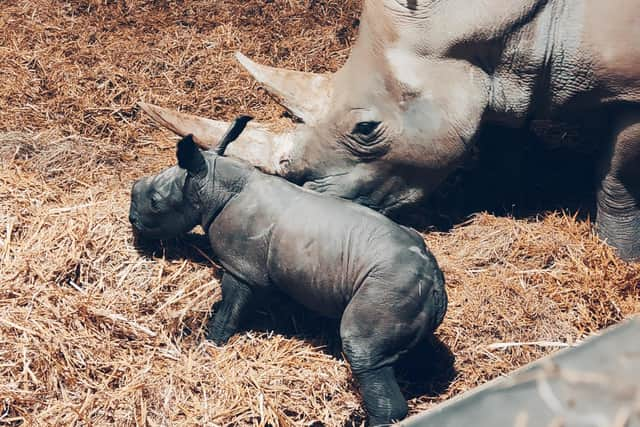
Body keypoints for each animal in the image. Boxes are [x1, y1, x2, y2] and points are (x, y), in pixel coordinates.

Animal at [130, 118, 448, 427]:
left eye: (155, 203)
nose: (132, 219)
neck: (211, 184)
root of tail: (433, 280)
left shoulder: (240, 267)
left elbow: (229, 311)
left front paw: (209, 345)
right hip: (405, 290)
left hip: (387, 288)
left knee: (363, 351)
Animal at [141, 0, 640, 260]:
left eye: (365, 129)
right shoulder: (506, 66)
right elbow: (501, 132)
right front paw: (503, 199)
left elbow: (617, 178)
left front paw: (619, 256)